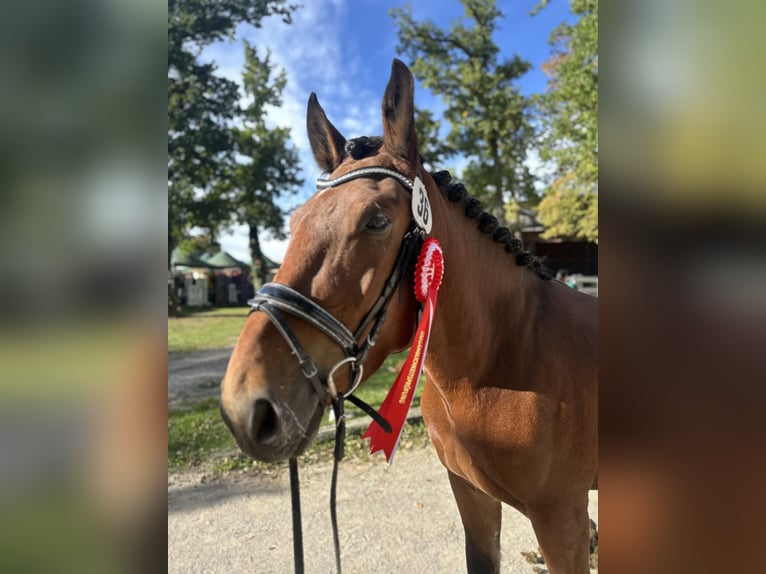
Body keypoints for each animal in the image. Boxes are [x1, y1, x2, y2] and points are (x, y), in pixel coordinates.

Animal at [220, 59, 598, 574]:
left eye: (376, 220)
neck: (497, 362)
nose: (246, 407)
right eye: (295, 222)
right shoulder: (472, 497)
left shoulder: (561, 519)